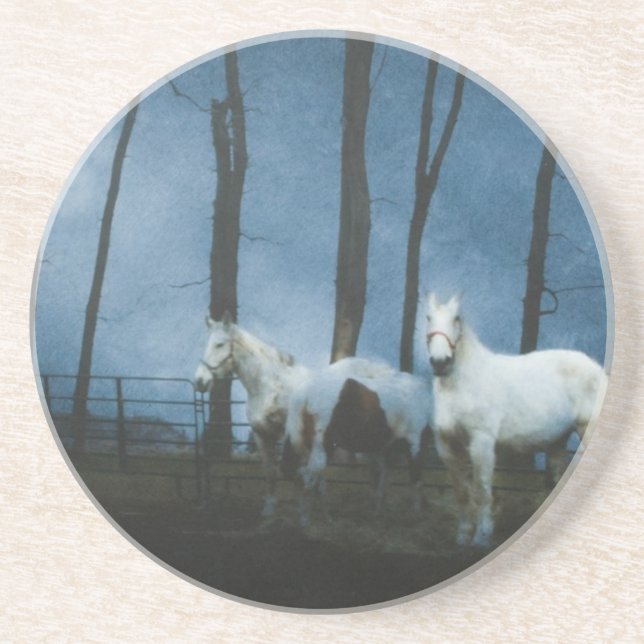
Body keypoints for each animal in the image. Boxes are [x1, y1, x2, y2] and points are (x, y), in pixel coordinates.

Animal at [282, 362, 433, 525]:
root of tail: (301, 395)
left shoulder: (387, 452)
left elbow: (381, 485)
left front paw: (378, 514)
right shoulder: (415, 445)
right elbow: (416, 482)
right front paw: (416, 517)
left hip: (310, 450)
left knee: (313, 482)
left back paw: (327, 518)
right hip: (321, 450)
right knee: (306, 480)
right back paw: (306, 521)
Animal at [425, 293, 607, 548]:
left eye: (457, 318)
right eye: (428, 317)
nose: (440, 361)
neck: (463, 383)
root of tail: (596, 368)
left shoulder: (481, 442)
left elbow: (481, 490)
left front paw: (481, 538)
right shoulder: (446, 445)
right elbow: (461, 491)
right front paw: (462, 537)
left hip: (585, 429)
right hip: (558, 441)